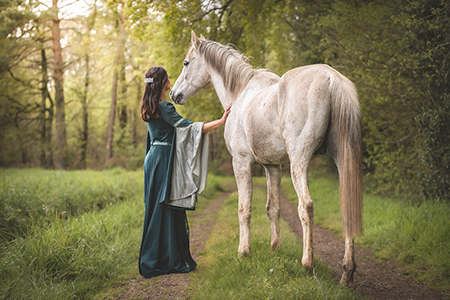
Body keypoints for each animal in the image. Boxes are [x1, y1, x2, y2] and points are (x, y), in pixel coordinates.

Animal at [171, 31, 364, 286]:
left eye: (186, 62)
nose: (174, 95)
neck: (240, 93)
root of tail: (331, 78)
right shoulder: (273, 167)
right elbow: (273, 208)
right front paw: (276, 247)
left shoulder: (241, 162)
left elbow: (244, 208)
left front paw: (243, 252)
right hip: (341, 158)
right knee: (346, 209)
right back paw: (347, 272)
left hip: (299, 161)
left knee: (306, 205)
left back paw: (307, 263)